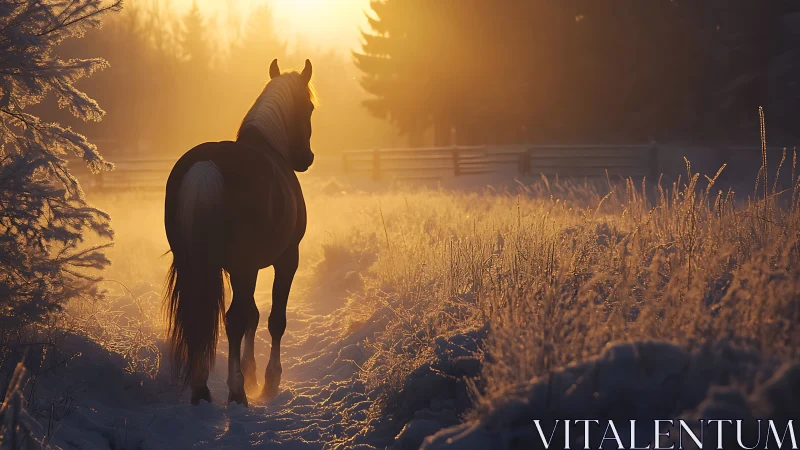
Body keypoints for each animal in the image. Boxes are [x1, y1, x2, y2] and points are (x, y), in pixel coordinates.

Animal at [162, 59, 316, 406]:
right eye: (310, 107)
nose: (306, 158)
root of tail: (206, 165)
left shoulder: (242, 267)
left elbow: (253, 315)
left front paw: (251, 370)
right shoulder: (286, 259)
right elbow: (273, 319)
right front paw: (268, 380)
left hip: (193, 263)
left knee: (199, 315)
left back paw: (201, 389)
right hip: (246, 265)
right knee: (233, 320)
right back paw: (236, 392)